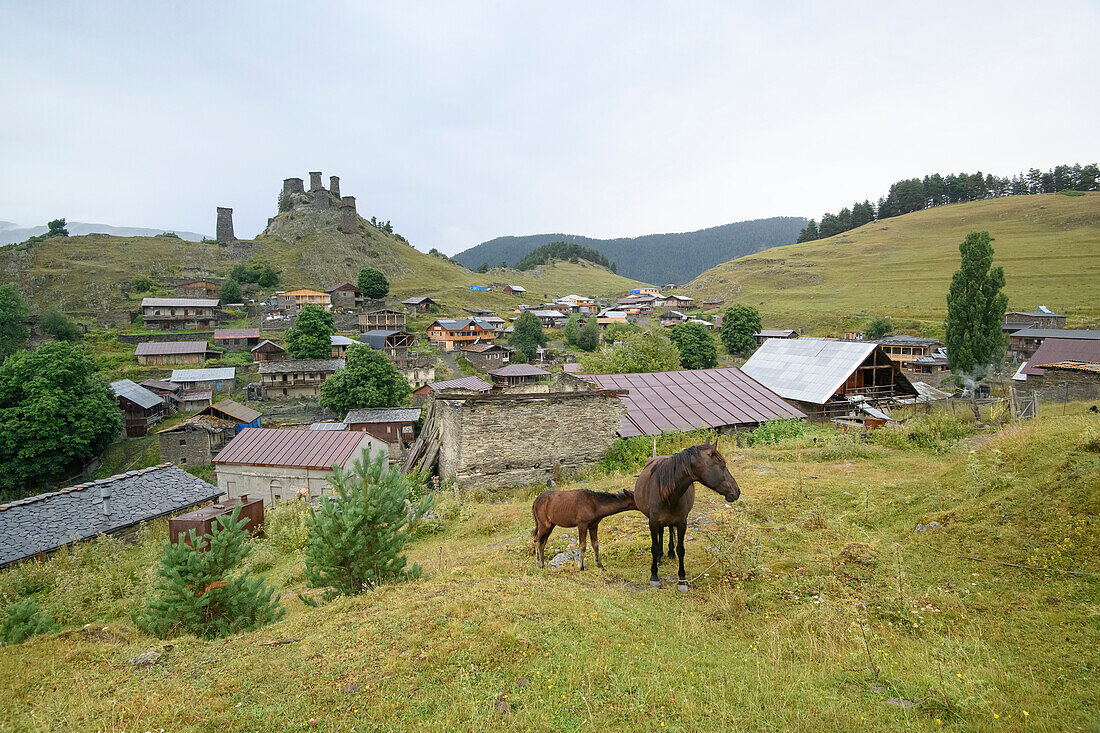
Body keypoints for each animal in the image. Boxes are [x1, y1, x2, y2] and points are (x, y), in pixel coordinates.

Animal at [633, 440, 743, 589]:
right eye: (723, 466)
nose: (737, 491)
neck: (666, 492)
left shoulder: (681, 522)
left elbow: (681, 549)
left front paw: (682, 579)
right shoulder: (653, 522)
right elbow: (654, 548)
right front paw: (654, 576)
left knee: (669, 529)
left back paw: (669, 552)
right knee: (662, 532)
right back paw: (659, 558)